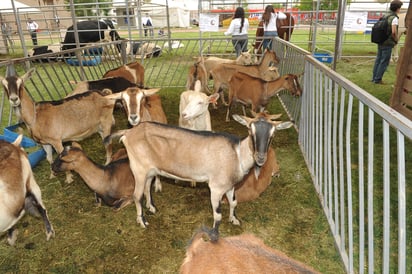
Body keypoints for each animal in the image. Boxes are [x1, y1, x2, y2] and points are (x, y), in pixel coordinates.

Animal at [104, 111, 294, 231]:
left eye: (273, 134)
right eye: (250, 130)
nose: (261, 158)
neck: (237, 154)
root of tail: (128, 132)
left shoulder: (230, 185)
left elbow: (233, 203)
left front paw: (234, 220)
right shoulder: (216, 187)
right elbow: (217, 215)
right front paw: (215, 235)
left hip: (150, 169)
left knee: (146, 188)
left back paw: (152, 208)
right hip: (138, 168)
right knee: (137, 195)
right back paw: (142, 222)